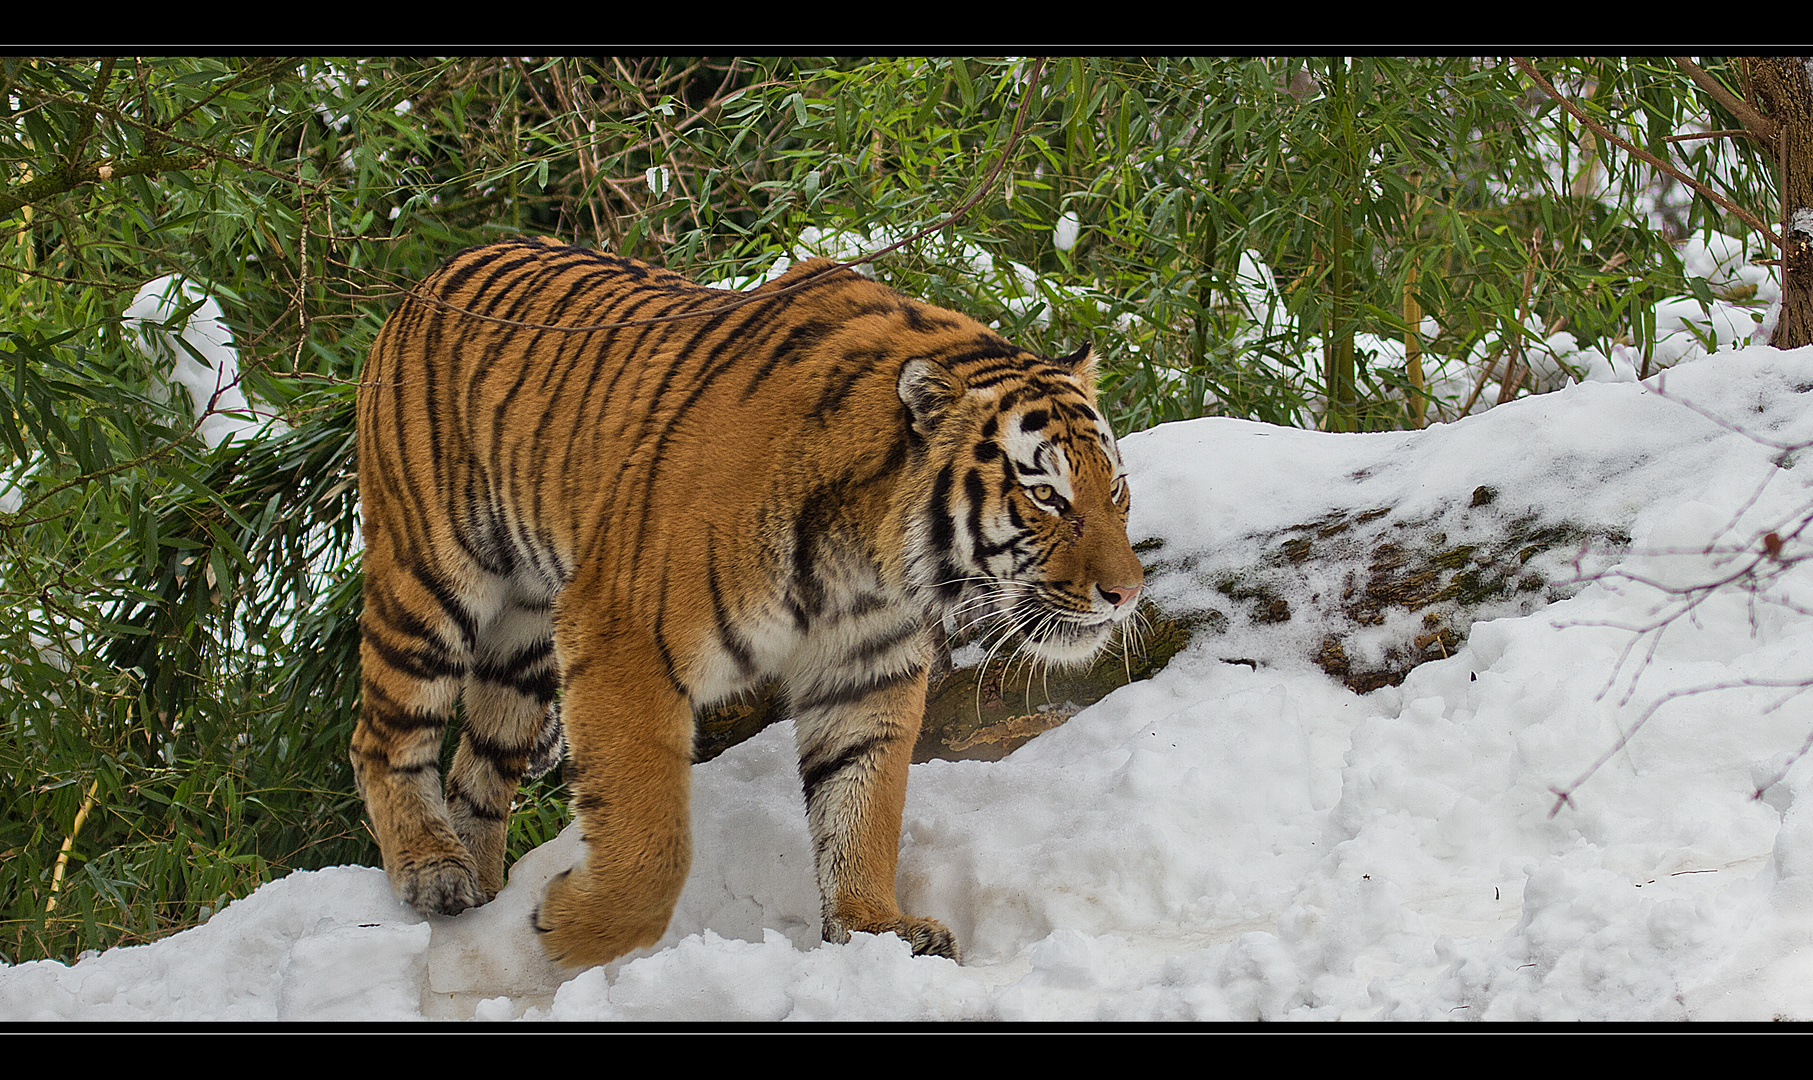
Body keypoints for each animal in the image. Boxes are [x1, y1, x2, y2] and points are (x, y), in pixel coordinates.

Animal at [351, 233, 1138, 964]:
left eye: (1115, 489)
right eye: (1046, 496)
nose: (1127, 593)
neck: (869, 562)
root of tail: (434, 274)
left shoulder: (866, 667)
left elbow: (863, 804)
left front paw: (872, 927)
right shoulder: (622, 637)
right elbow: (648, 835)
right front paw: (571, 931)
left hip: (524, 631)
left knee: (479, 762)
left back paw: (481, 896)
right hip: (430, 578)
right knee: (383, 736)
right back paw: (433, 871)